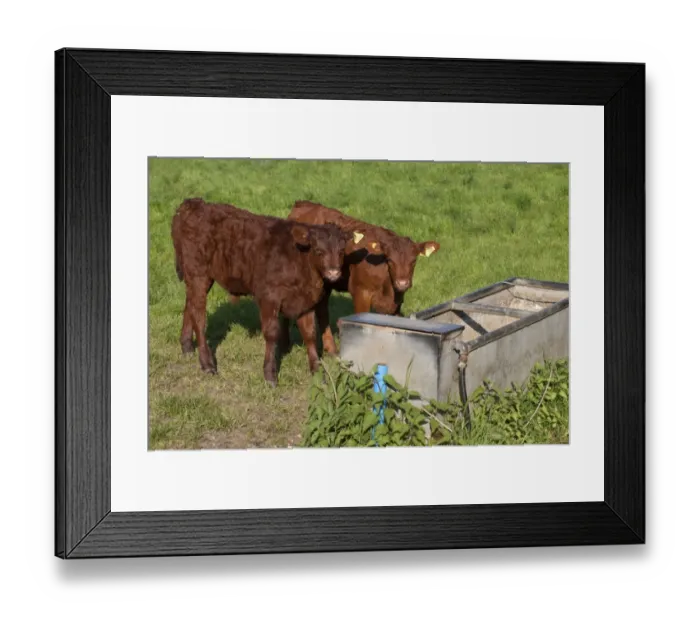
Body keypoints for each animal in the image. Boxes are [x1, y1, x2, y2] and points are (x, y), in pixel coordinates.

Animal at [171, 198, 374, 386]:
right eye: (318, 250)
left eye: (341, 250)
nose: (333, 272)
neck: (300, 261)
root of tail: (194, 204)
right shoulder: (269, 298)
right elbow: (271, 334)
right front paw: (270, 374)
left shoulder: (305, 301)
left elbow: (309, 334)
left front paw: (317, 371)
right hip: (198, 273)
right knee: (199, 317)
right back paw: (207, 363)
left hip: (197, 277)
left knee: (190, 305)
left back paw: (187, 346)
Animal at [287, 200, 440, 355]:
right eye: (390, 260)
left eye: (413, 261)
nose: (402, 283)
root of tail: (304, 204)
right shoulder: (361, 292)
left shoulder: (396, 303)